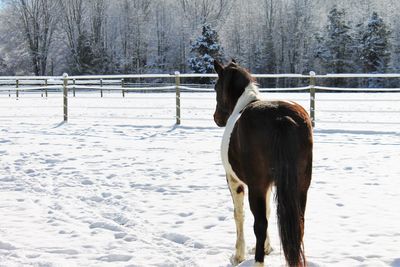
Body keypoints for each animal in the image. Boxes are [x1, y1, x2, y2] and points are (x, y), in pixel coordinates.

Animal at [214, 59, 314, 266]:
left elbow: (239, 215)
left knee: (259, 224)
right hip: (301, 186)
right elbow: (268, 210)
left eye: (215, 87)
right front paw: (267, 248)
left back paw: (258, 261)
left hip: (256, 187)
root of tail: (281, 118)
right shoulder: (269, 185)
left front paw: (239, 255)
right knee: (299, 223)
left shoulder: (234, 181)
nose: (216, 118)